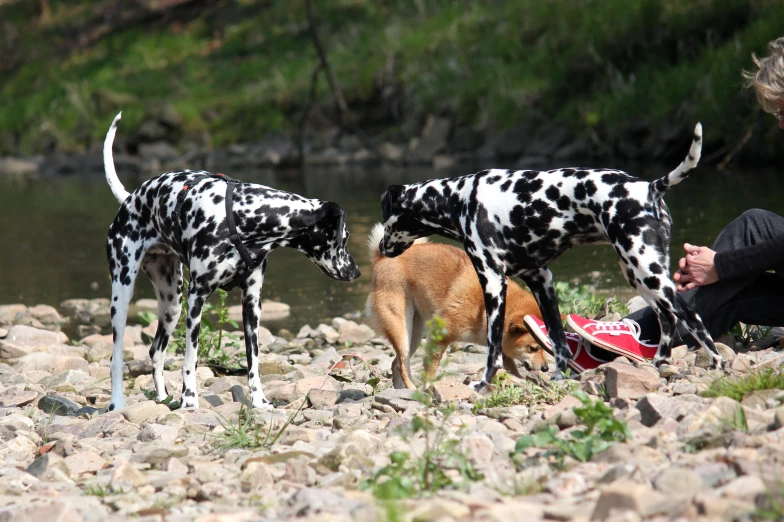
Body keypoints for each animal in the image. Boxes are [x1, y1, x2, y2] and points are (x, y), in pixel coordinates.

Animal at [104, 111, 362, 408]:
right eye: (345, 238)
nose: (356, 272)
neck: (243, 217)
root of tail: (130, 200)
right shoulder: (197, 298)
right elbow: (190, 360)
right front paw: (190, 399)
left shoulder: (251, 304)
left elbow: (254, 361)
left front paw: (259, 401)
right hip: (123, 296)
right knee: (116, 357)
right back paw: (117, 404)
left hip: (172, 303)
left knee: (156, 352)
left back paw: (162, 398)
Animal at [364, 221, 548, 388]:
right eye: (532, 348)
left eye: (545, 347)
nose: (545, 368)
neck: (484, 308)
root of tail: (382, 258)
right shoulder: (441, 335)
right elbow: (431, 367)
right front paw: (429, 387)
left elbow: (510, 365)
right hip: (401, 330)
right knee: (402, 364)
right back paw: (412, 389)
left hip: (414, 333)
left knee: (396, 364)